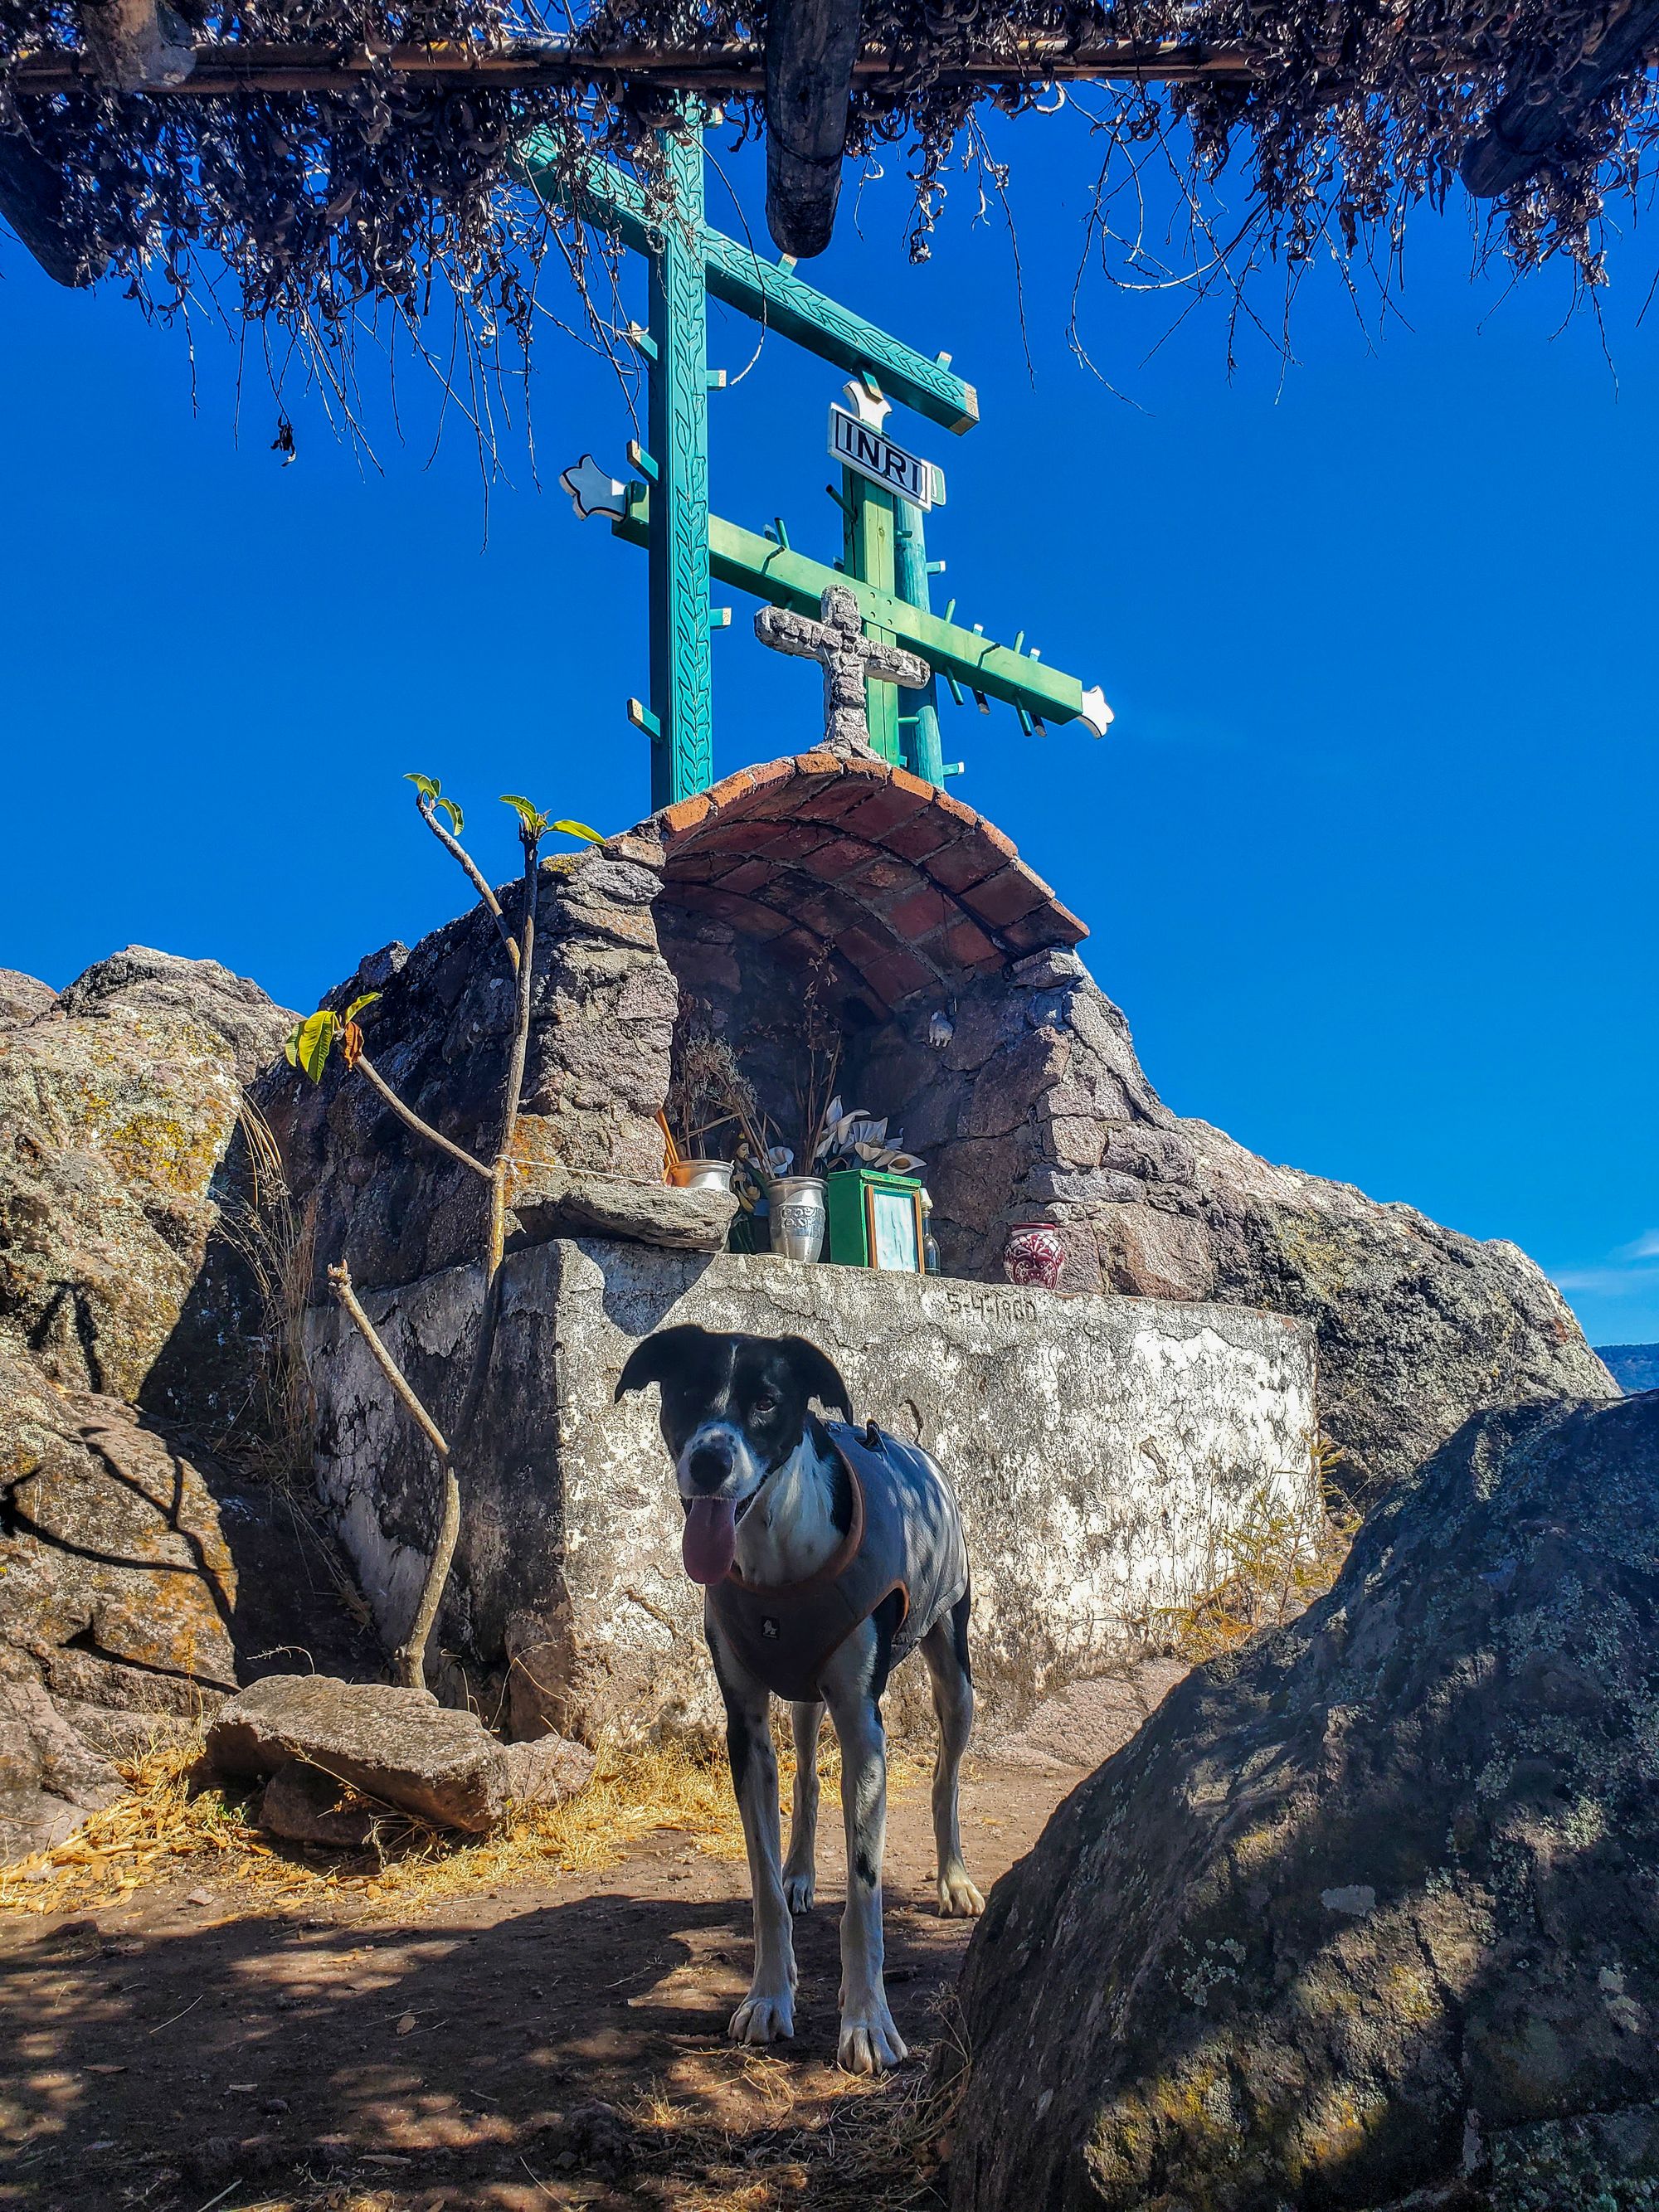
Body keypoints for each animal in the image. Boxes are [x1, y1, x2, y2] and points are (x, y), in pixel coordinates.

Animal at [619, 1327, 986, 2070]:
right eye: (688, 1391)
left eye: (766, 1402)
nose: (709, 1461)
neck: (775, 1547)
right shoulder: (747, 1725)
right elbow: (761, 1882)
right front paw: (768, 1995)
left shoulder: (864, 1725)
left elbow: (865, 1891)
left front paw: (867, 2021)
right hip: (804, 1699)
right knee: (811, 1778)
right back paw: (800, 1873)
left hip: (954, 1674)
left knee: (945, 1779)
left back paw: (953, 1879)